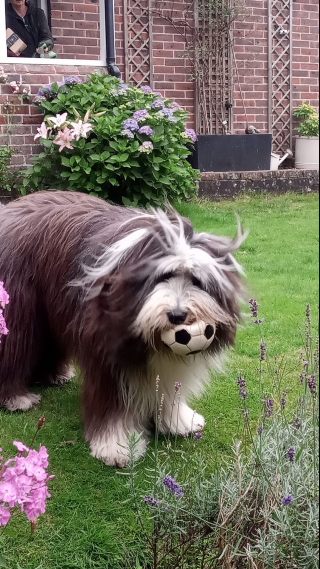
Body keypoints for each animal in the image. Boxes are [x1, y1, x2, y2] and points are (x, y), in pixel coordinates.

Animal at [0, 191, 246, 466]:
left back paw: (54, 375)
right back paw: (16, 398)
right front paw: (117, 447)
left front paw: (179, 421)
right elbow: (113, 406)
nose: (178, 315)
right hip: (18, 308)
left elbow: (169, 389)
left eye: (196, 280)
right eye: (163, 276)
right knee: (14, 346)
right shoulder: (107, 354)